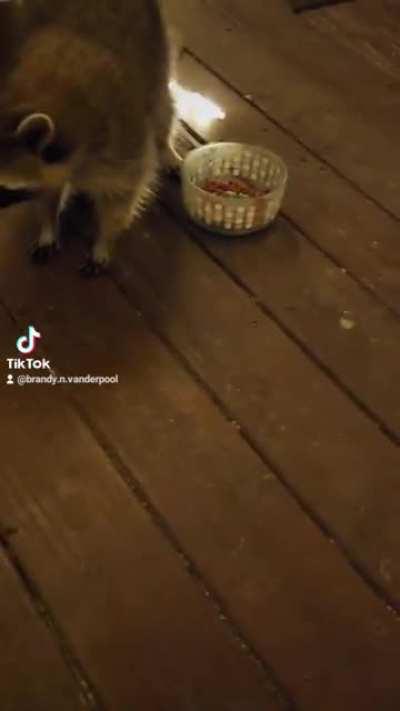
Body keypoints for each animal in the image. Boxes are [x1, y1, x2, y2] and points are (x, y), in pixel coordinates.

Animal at [0, 0, 177, 276]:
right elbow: (48, 190)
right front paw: (48, 225)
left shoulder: (123, 141)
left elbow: (122, 195)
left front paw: (104, 240)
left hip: (157, 47)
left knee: (162, 109)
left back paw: (166, 145)